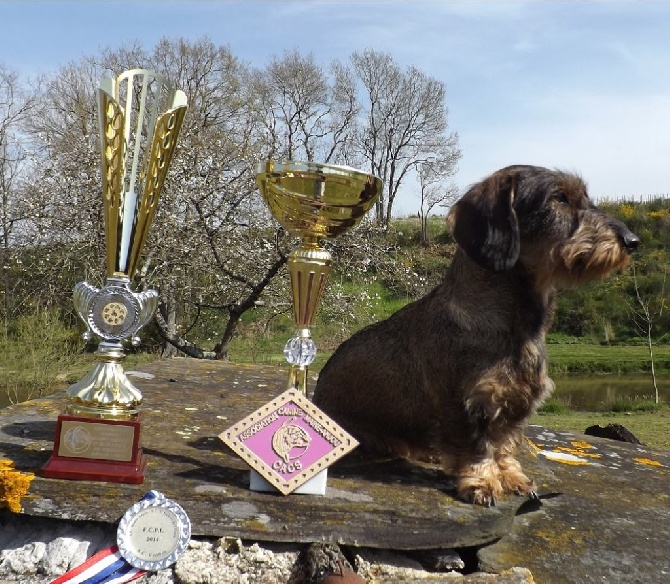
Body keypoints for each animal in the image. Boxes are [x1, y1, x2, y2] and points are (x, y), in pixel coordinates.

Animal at [316, 165, 640, 506]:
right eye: (559, 198)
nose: (633, 241)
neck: (517, 326)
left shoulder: (516, 405)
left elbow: (504, 444)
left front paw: (511, 476)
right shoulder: (465, 405)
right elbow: (477, 448)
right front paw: (481, 482)